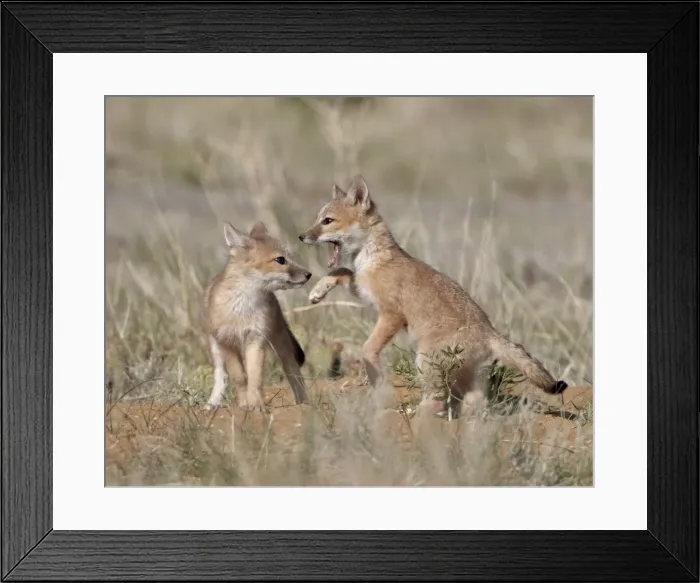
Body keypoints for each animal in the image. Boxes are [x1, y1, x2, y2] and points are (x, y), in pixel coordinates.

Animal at [202, 220, 313, 412]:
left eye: (290, 257)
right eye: (280, 260)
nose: (308, 274)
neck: (242, 307)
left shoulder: (256, 339)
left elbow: (255, 377)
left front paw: (256, 405)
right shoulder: (227, 342)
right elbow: (239, 377)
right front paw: (244, 404)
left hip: (281, 345)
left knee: (293, 372)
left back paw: (303, 404)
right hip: (216, 348)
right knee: (221, 375)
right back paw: (213, 403)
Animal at [298, 174, 567, 417]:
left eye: (327, 221)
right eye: (318, 219)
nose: (302, 236)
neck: (374, 258)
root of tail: (490, 332)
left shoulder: (391, 315)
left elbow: (367, 349)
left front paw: (378, 380)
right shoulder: (363, 290)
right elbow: (341, 271)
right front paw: (318, 291)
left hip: (424, 360)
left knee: (438, 400)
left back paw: (415, 414)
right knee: (475, 400)